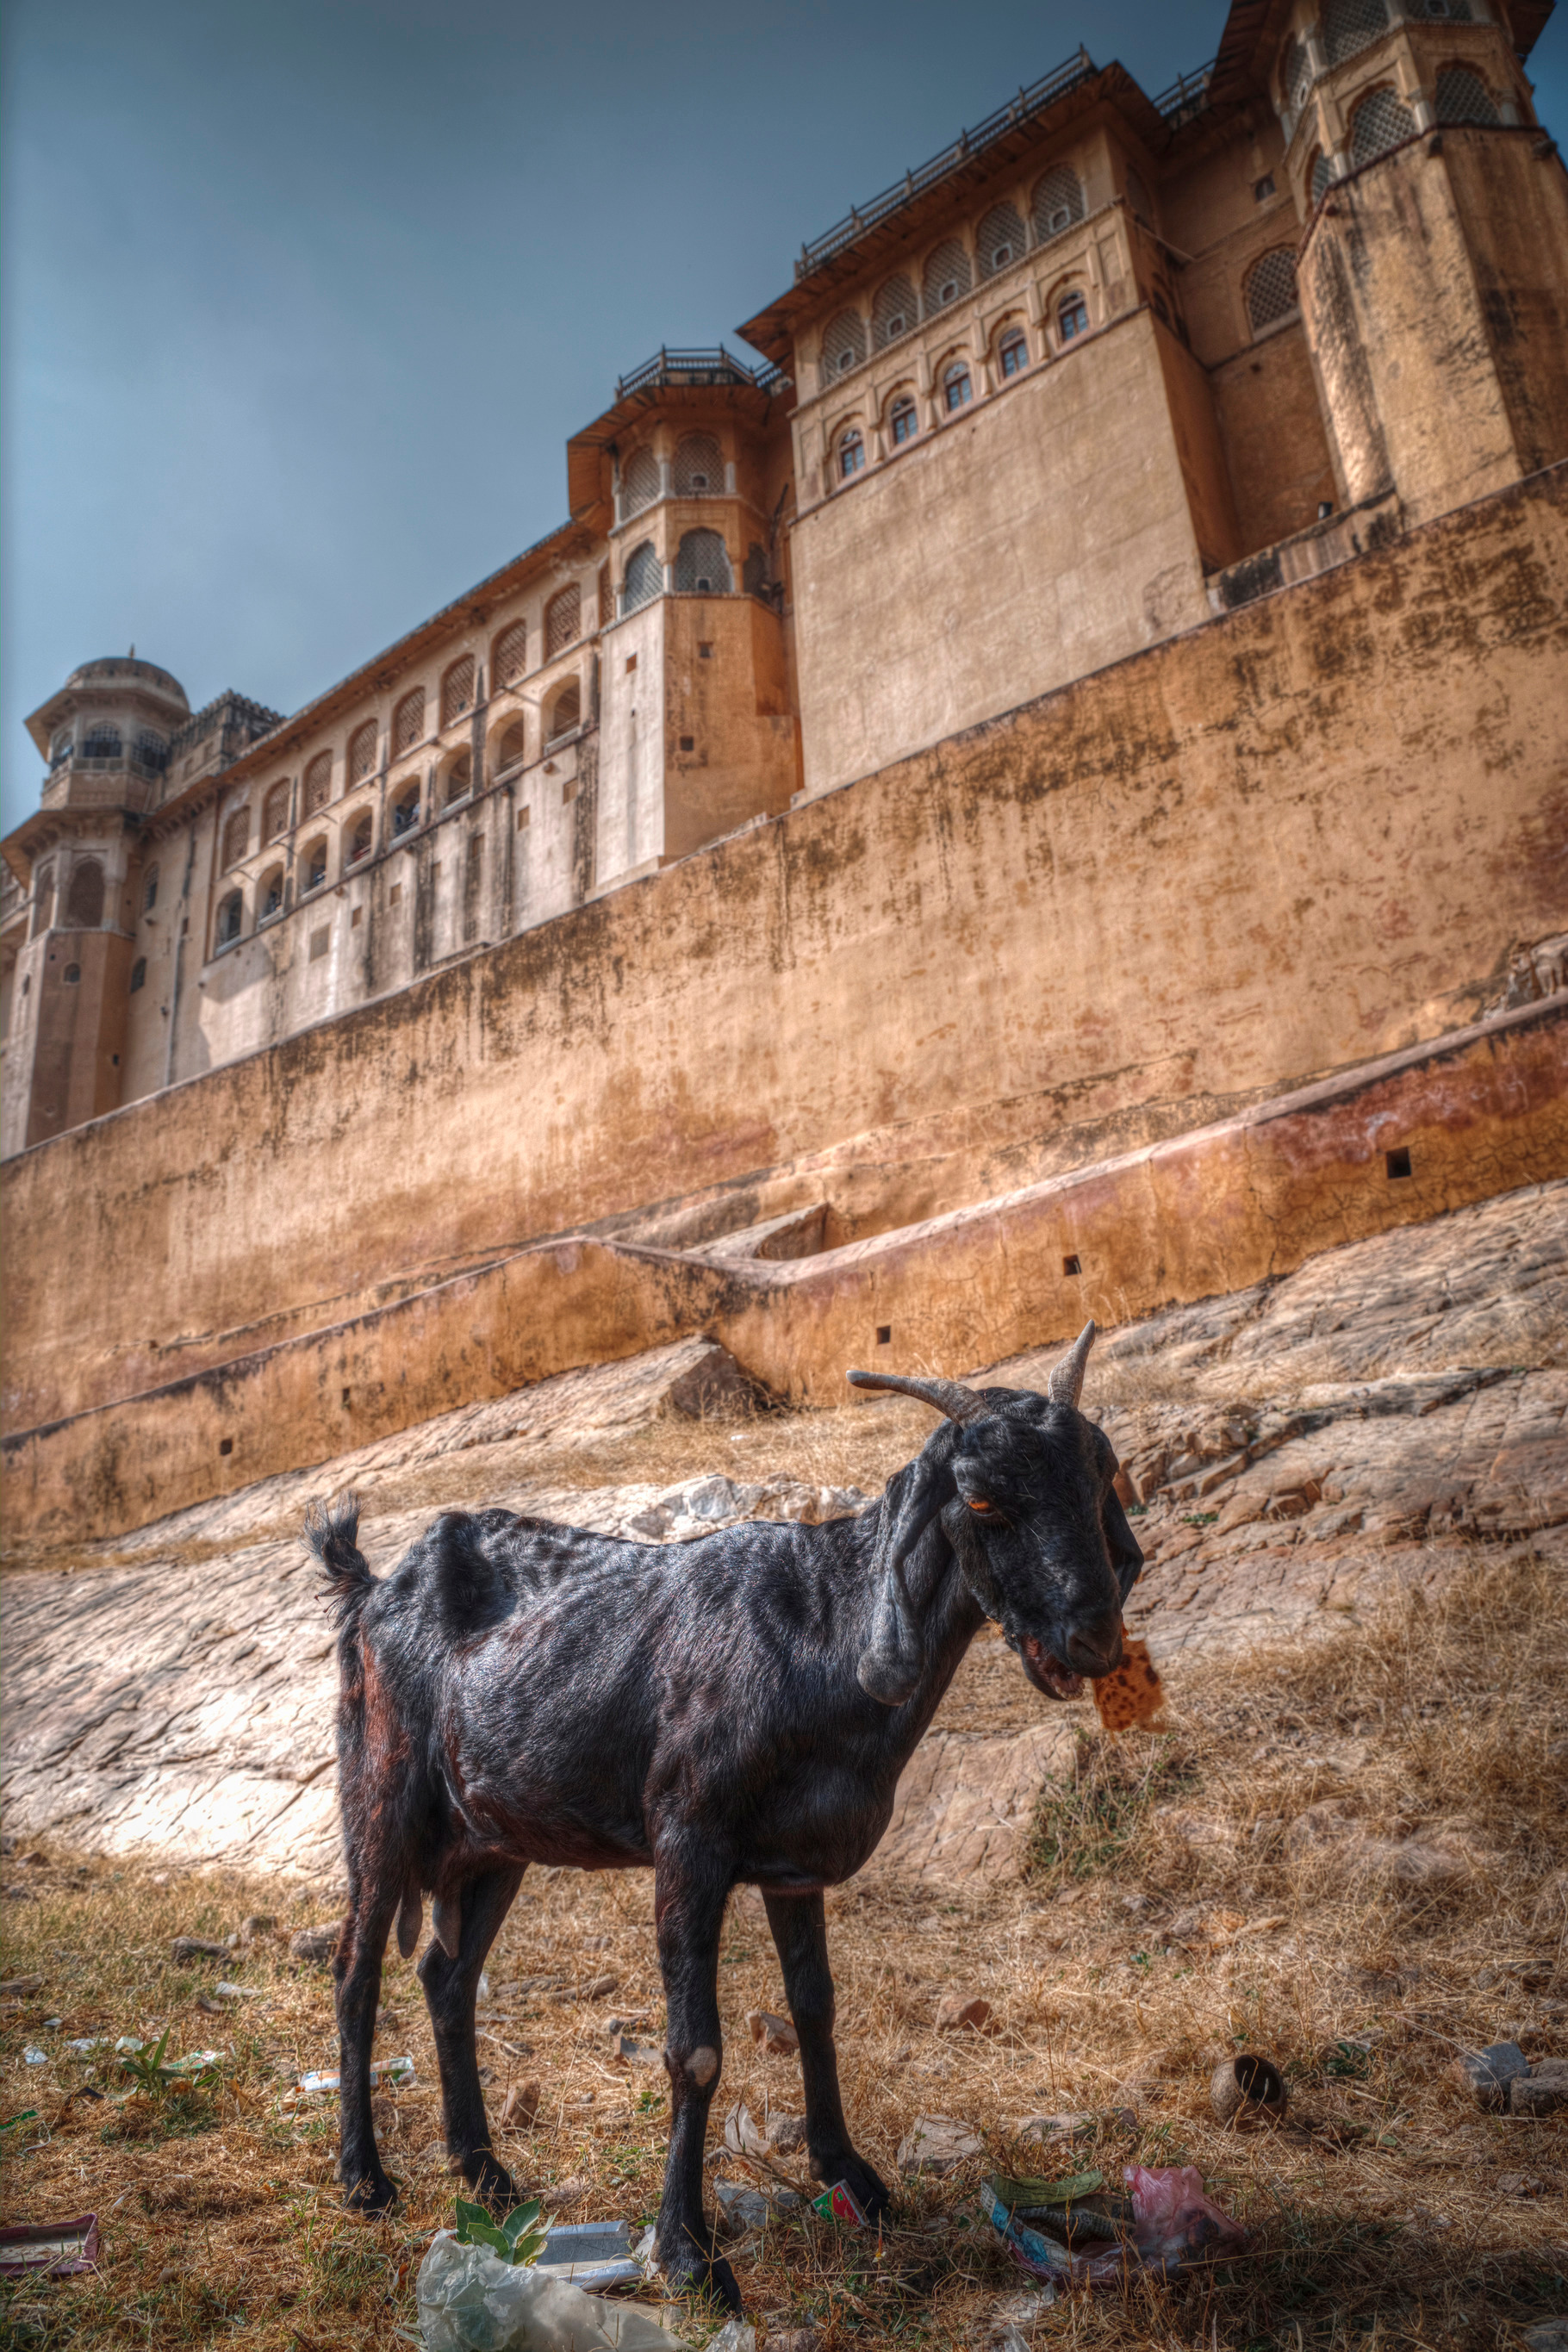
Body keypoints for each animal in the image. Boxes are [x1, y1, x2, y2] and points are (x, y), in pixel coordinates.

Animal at [307, 1321, 1141, 2310]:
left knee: (446, 1973)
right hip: (381, 1795)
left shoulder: (794, 1866)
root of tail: (371, 1587)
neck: (823, 1627)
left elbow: (815, 2008)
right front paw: (690, 2254)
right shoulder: (688, 1844)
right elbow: (694, 2052)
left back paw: (484, 2171)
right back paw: (364, 2178)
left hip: (493, 1839)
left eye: (1100, 1475)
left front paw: (850, 2176)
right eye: (980, 1499)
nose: (1091, 1640)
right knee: (355, 1967)